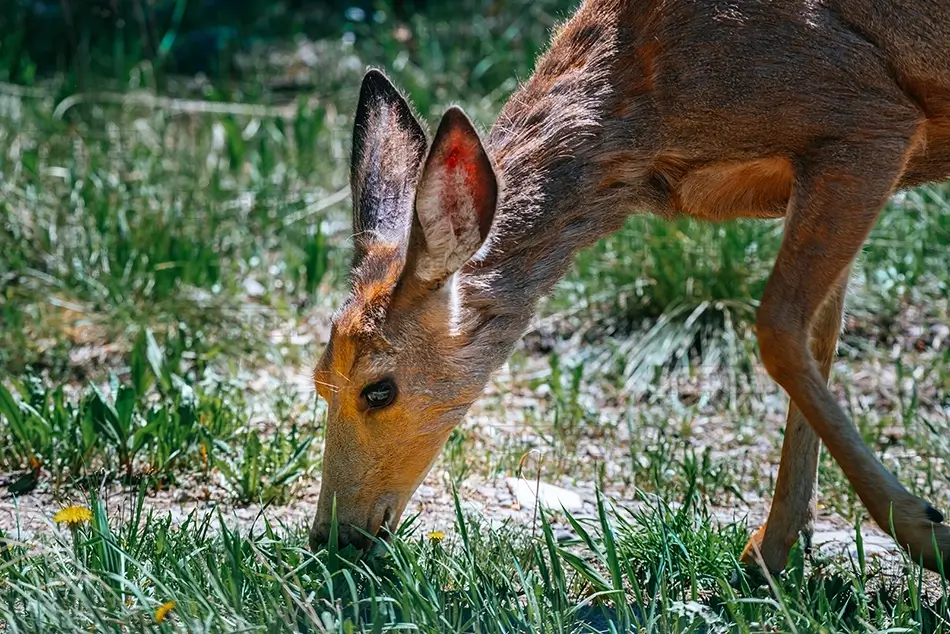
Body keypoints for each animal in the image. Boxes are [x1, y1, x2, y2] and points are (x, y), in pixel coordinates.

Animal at [308, 0, 950, 579]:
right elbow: (820, 338)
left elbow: (780, 330)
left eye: (378, 390)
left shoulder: (867, 117)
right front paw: (770, 557)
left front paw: (923, 529)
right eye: (319, 380)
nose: (330, 538)